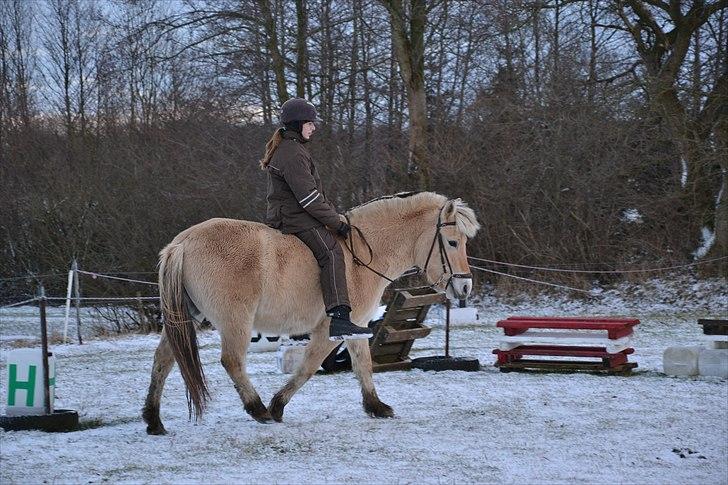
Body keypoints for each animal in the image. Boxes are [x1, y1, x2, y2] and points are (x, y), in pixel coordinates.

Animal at [143, 191, 480, 432]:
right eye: (453, 242)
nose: (464, 288)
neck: (360, 255)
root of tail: (183, 243)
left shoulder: (356, 325)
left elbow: (363, 365)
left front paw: (376, 406)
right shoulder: (328, 329)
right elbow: (308, 367)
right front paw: (277, 406)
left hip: (186, 317)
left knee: (163, 359)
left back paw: (153, 420)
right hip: (235, 321)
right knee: (232, 361)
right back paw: (259, 410)